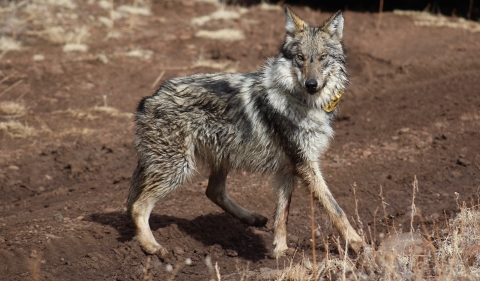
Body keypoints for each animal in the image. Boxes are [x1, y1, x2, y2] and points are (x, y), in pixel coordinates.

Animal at [127, 6, 364, 258]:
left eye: (322, 57)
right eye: (300, 58)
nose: (311, 84)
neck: (303, 102)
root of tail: (149, 99)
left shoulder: (288, 168)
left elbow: (282, 216)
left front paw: (280, 253)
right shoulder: (305, 164)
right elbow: (335, 209)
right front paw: (359, 245)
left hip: (220, 155)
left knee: (213, 191)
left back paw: (252, 218)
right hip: (179, 168)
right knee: (138, 207)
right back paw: (152, 247)